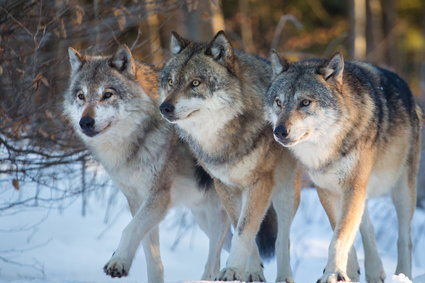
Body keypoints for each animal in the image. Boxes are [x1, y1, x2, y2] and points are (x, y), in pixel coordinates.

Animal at [62, 45, 232, 282]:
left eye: (107, 94)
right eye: (81, 96)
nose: (85, 122)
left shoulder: (158, 197)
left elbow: (129, 230)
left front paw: (118, 261)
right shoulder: (137, 200)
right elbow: (152, 257)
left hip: (220, 213)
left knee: (215, 261)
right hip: (204, 217)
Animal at [157, 30, 300, 282]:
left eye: (195, 83)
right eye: (171, 82)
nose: (164, 107)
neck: (222, 140)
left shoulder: (259, 184)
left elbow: (245, 229)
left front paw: (232, 269)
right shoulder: (224, 186)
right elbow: (242, 227)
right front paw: (250, 271)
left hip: (285, 192)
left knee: (283, 238)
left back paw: (284, 277)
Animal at [264, 51, 420, 283]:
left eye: (305, 102)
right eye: (278, 102)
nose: (279, 131)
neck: (327, 147)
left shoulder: (352, 186)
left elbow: (340, 235)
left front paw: (333, 273)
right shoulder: (327, 190)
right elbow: (340, 231)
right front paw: (346, 272)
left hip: (401, 191)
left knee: (404, 238)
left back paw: (402, 275)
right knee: (367, 226)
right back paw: (374, 271)